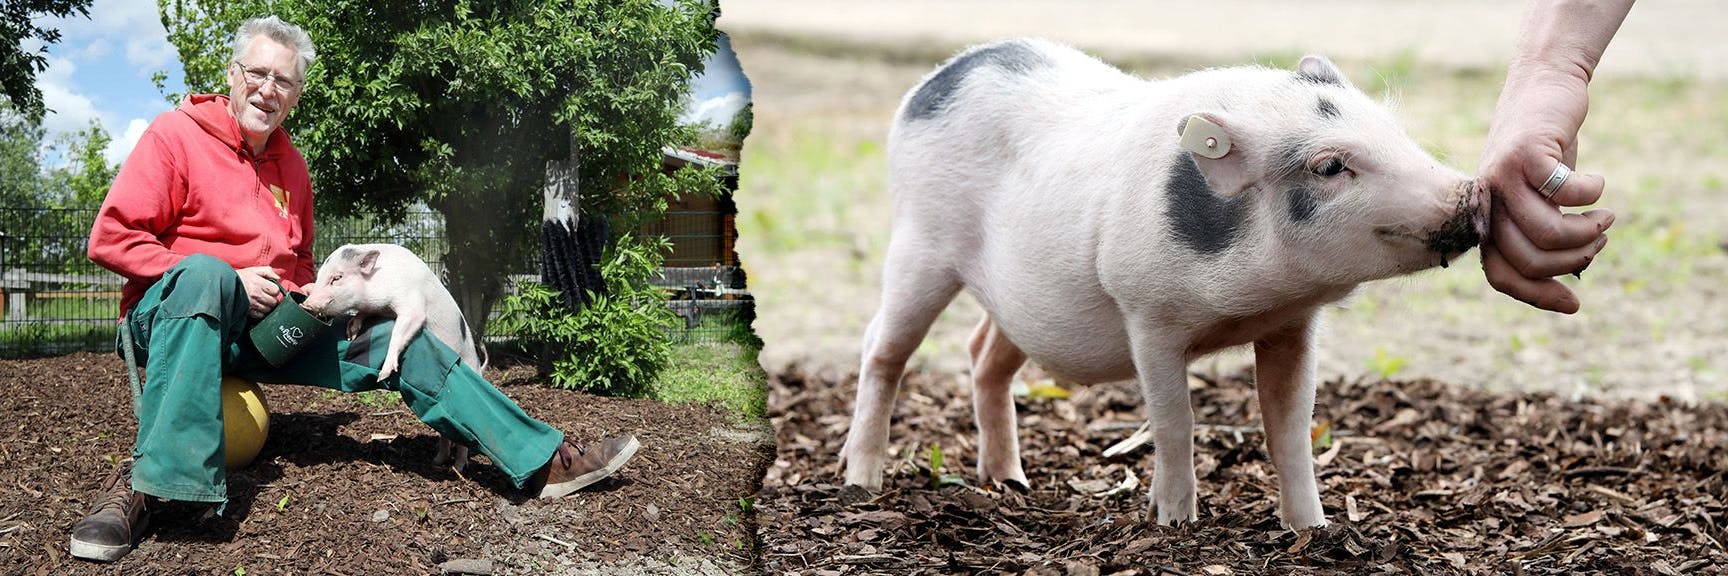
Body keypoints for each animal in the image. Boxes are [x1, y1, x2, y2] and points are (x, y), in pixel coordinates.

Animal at [300, 243, 486, 470]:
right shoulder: (379, 307)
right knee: (445, 434)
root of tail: (478, 368)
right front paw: (352, 332)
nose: (306, 304)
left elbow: (400, 331)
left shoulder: (411, 306)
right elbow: (364, 313)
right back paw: (436, 461)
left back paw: (457, 468)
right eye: (319, 276)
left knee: (461, 443)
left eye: (337, 277)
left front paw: (383, 374)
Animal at [838, 38, 1486, 529]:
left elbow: (1290, 428)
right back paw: (862, 483)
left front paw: (1313, 530)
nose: (1473, 193)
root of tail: (939, 77)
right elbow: (1176, 423)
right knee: (880, 348)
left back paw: (1009, 482)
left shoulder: (1293, 325)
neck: (1252, 304)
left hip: (1016, 298)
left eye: (1395, 132)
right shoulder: (1147, 314)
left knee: (983, 355)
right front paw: (1175, 522)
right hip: (919, 242)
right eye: (1329, 166)